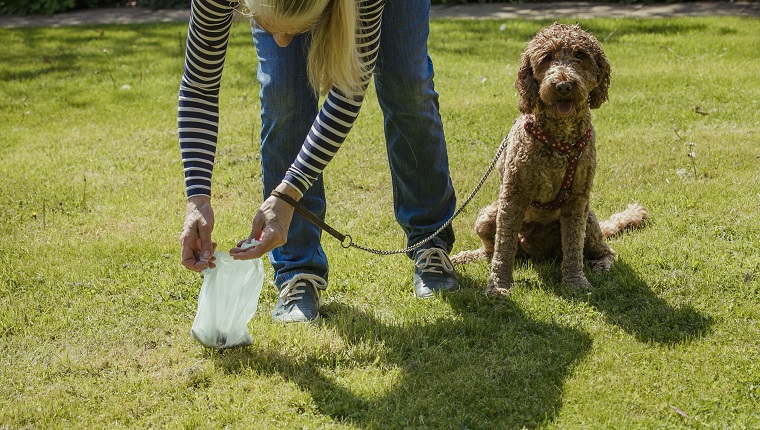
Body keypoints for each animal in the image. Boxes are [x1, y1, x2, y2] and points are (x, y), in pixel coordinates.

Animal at [452, 23, 648, 296]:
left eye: (580, 55)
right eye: (546, 57)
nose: (564, 85)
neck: (560, 140)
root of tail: (534, 252)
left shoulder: (578, 200)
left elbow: (573, 248)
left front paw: (575, 282)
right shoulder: (512, 197)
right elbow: (503, 247)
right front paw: (498, 286)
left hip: (589, 222)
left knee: (605, 250)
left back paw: (600, 265)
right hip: (487, 216)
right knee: (491, 251)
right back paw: (464, 257)